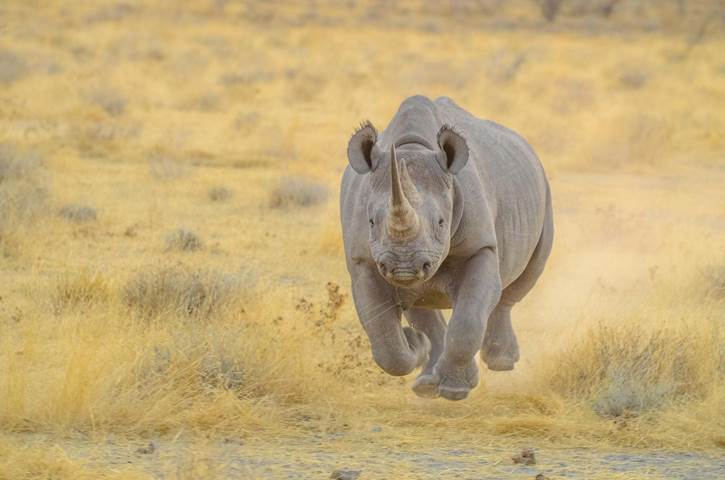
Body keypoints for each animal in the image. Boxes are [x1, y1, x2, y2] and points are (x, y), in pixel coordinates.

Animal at [340, 95, 553, 400]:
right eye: (370, 222)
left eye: (442, 222)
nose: (404, 267)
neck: (413, 147)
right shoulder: (364, 261)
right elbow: (384, 337)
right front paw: (414, 344)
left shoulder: (480, 246)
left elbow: (469, 319)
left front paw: (455, 390)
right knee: (420, 306)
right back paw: (426, 384)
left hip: (543, 193)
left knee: (520, 282)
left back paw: (500, 363)